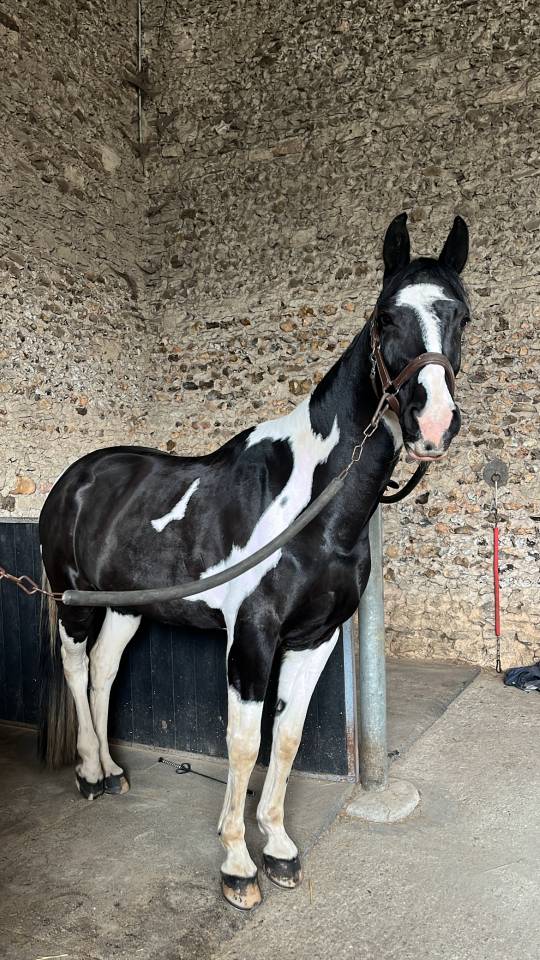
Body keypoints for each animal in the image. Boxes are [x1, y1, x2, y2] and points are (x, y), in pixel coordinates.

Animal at [39, 212, 470, 910]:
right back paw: (88, 774)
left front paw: (280, 848)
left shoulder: (317, 638)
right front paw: (237, 864)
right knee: (78, 670)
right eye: (385, 316)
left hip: (125, 608)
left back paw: (112, 770)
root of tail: (76, 477)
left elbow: (286, 740)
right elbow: (244, 745)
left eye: (462, 316)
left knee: (104, 673)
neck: (314, 510)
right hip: (71, 602)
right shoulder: (252, 637)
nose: (431, 423)